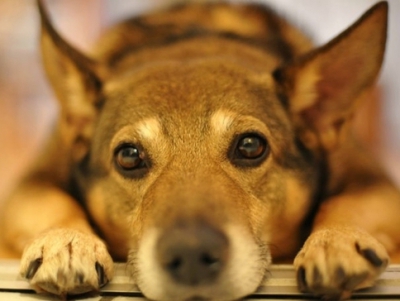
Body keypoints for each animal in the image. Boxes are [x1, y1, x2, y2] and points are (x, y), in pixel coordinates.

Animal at [0, 0, 400, 298]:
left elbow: (349, 202)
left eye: (251, 146)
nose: (191, 255)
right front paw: (65, 244)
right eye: (128, 156)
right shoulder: (32, 183)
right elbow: (51, 201)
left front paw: (337, 242)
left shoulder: (374, 182)